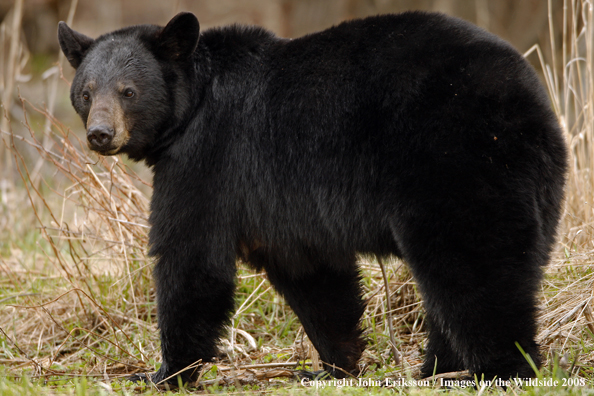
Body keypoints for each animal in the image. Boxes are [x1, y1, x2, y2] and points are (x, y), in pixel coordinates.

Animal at [57, 11, 568, 384]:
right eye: (86, 92)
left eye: (128, 91)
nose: (100, 134)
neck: (193, 104)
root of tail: (528, 99)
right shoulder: (279, 202)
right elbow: (312, 274)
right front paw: (335, 364)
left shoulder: (211, 159)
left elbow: (191, 258)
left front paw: (164, 372)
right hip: (536, 187)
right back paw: (437, 368)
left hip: (455, 164)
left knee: (474, 268)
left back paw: (499, 367)